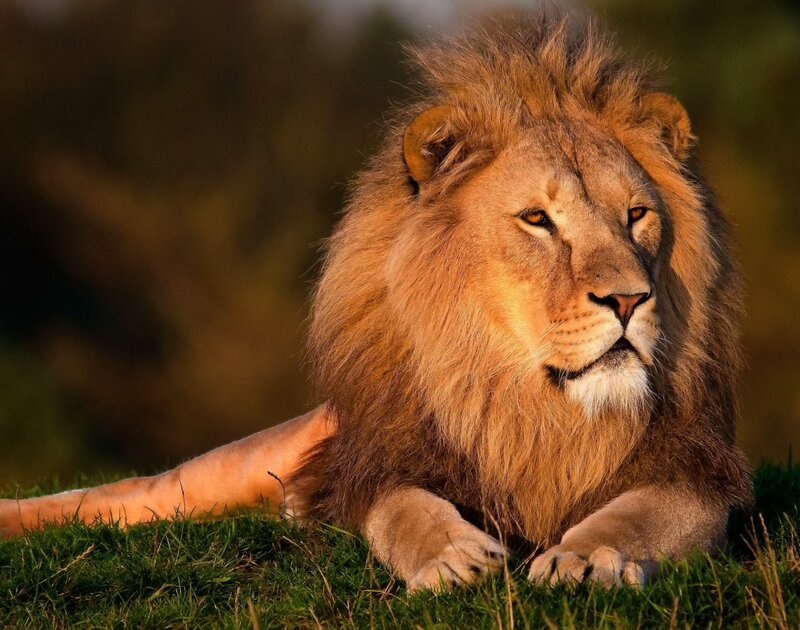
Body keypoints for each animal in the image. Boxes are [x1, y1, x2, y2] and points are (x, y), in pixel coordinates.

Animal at [0, 15, 752, 592]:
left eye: (636, 216)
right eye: (538, 220)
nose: (628, 298)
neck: (531, 408)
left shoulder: (696, 475)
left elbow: (640, 514)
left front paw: (588, 556)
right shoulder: (380, 465)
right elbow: (404, 510)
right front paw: (453, 557)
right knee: (115, 497)